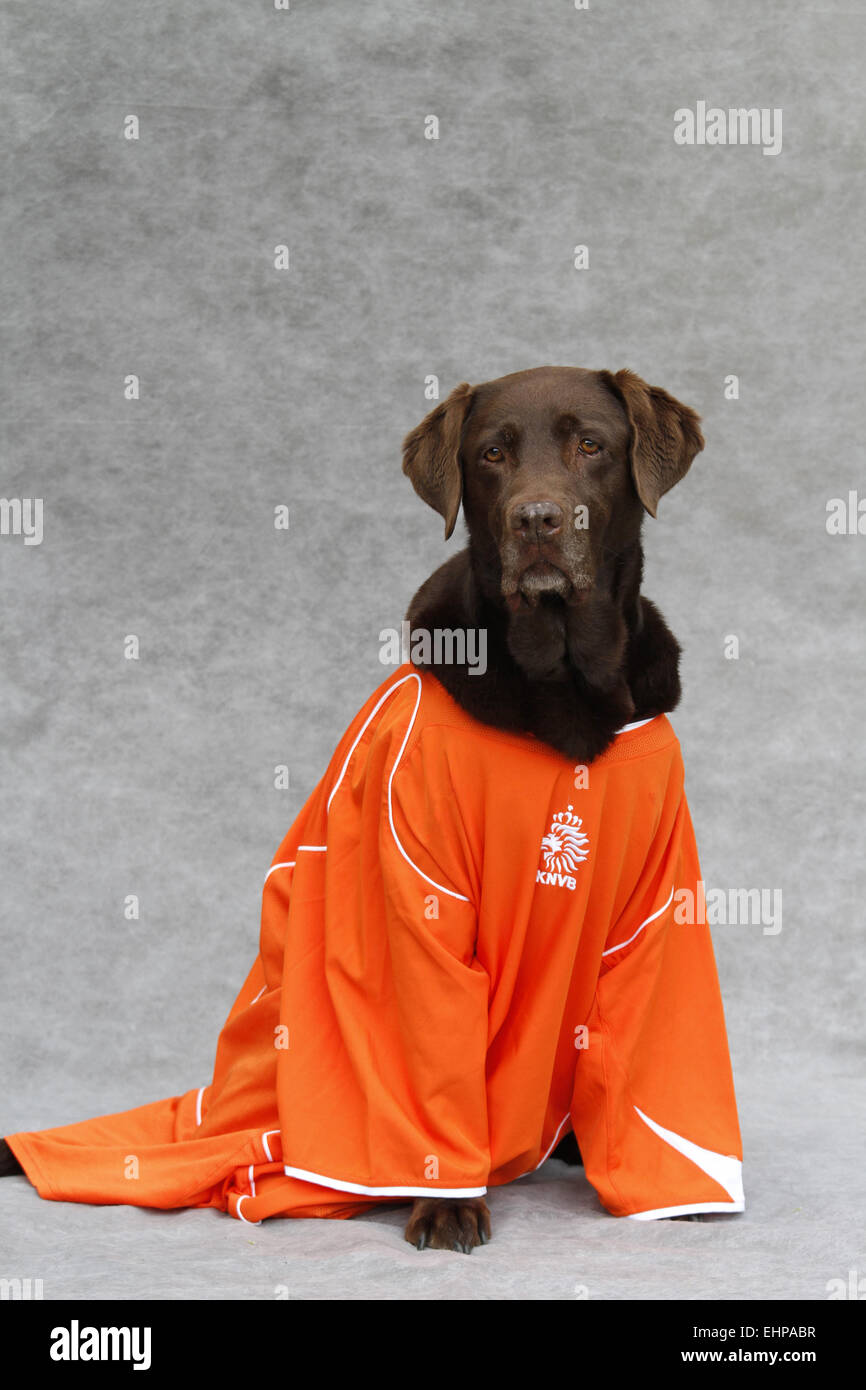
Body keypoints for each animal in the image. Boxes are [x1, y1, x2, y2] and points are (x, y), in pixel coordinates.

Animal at [1, 366, 745, 1251]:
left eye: (592, 445)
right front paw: (446, 1200)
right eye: (492, 453)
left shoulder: (658, 907)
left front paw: (676, 1188)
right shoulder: (413, 895)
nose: (535, 519)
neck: (561, 694)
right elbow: (426, 1062)